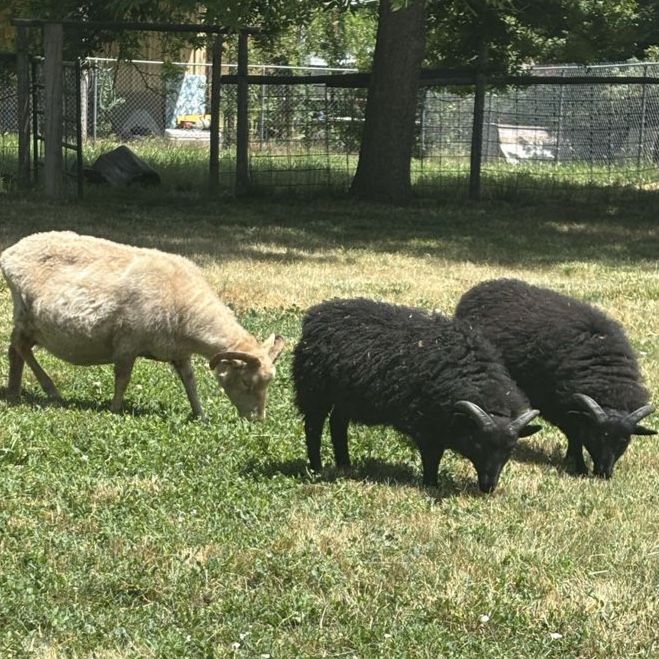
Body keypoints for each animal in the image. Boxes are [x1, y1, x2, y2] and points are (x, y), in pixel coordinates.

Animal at [0, 231, 285, 419]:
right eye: (247, 383)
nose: (257, 420)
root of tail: (11, 252)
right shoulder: (127, 343)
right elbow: (123, 378)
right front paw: (115, 409)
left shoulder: (179, 352)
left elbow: (190, 382)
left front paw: (200, 414)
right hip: (26, 314)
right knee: (19, 347)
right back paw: (51, 390)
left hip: (34, 325)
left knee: (15, 351)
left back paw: (14, 392)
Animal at [292, 298, 541, 493]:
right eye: (478, 443)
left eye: (510, 450)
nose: (488, 487)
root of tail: (316, 315)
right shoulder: (427, 427)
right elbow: (432, 458)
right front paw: (432, 484)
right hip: (314, 391)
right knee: (314, 428)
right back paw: (316, 468)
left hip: (345, 397)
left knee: (338, 424)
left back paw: (345, 464)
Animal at [455, 278, 656, 478]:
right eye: (595, 435)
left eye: (624, 441)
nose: (603, 473)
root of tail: (484, 285)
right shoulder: (561, 407)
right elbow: (575, 436)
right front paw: (578, 465)